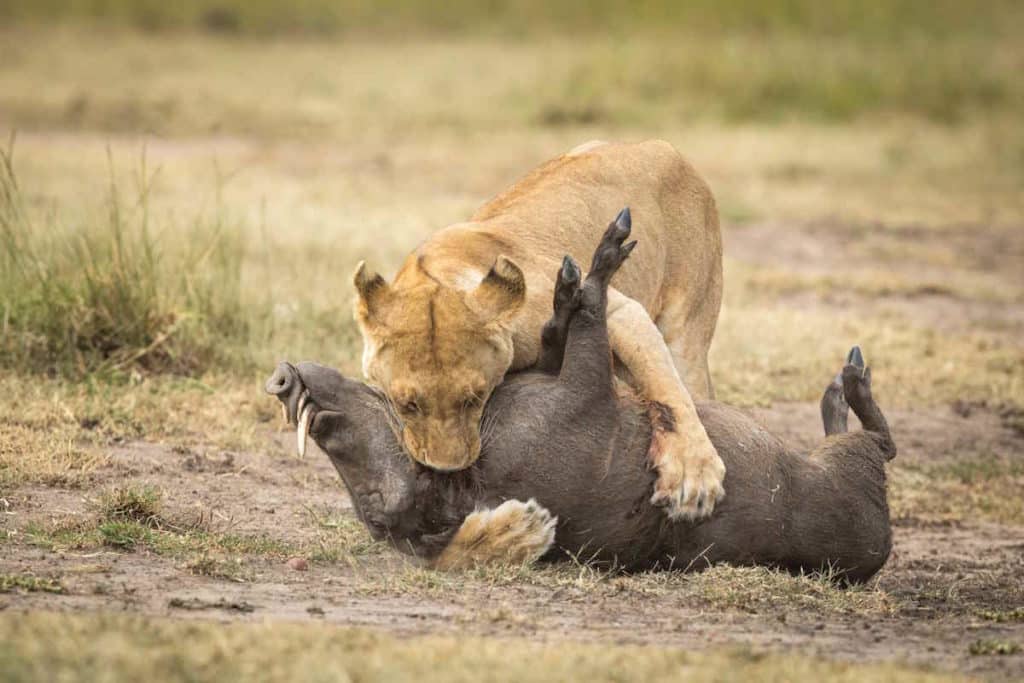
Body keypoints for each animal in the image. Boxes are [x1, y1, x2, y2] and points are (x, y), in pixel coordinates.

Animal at [353, 140, 725, 518]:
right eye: (407, 405)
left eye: (476, 398)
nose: (447, 470)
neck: (441, 273)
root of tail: (664, 147)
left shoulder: (621, 311)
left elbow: (667, 391)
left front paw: (692, 473)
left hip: (687, 335)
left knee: (688, 385)